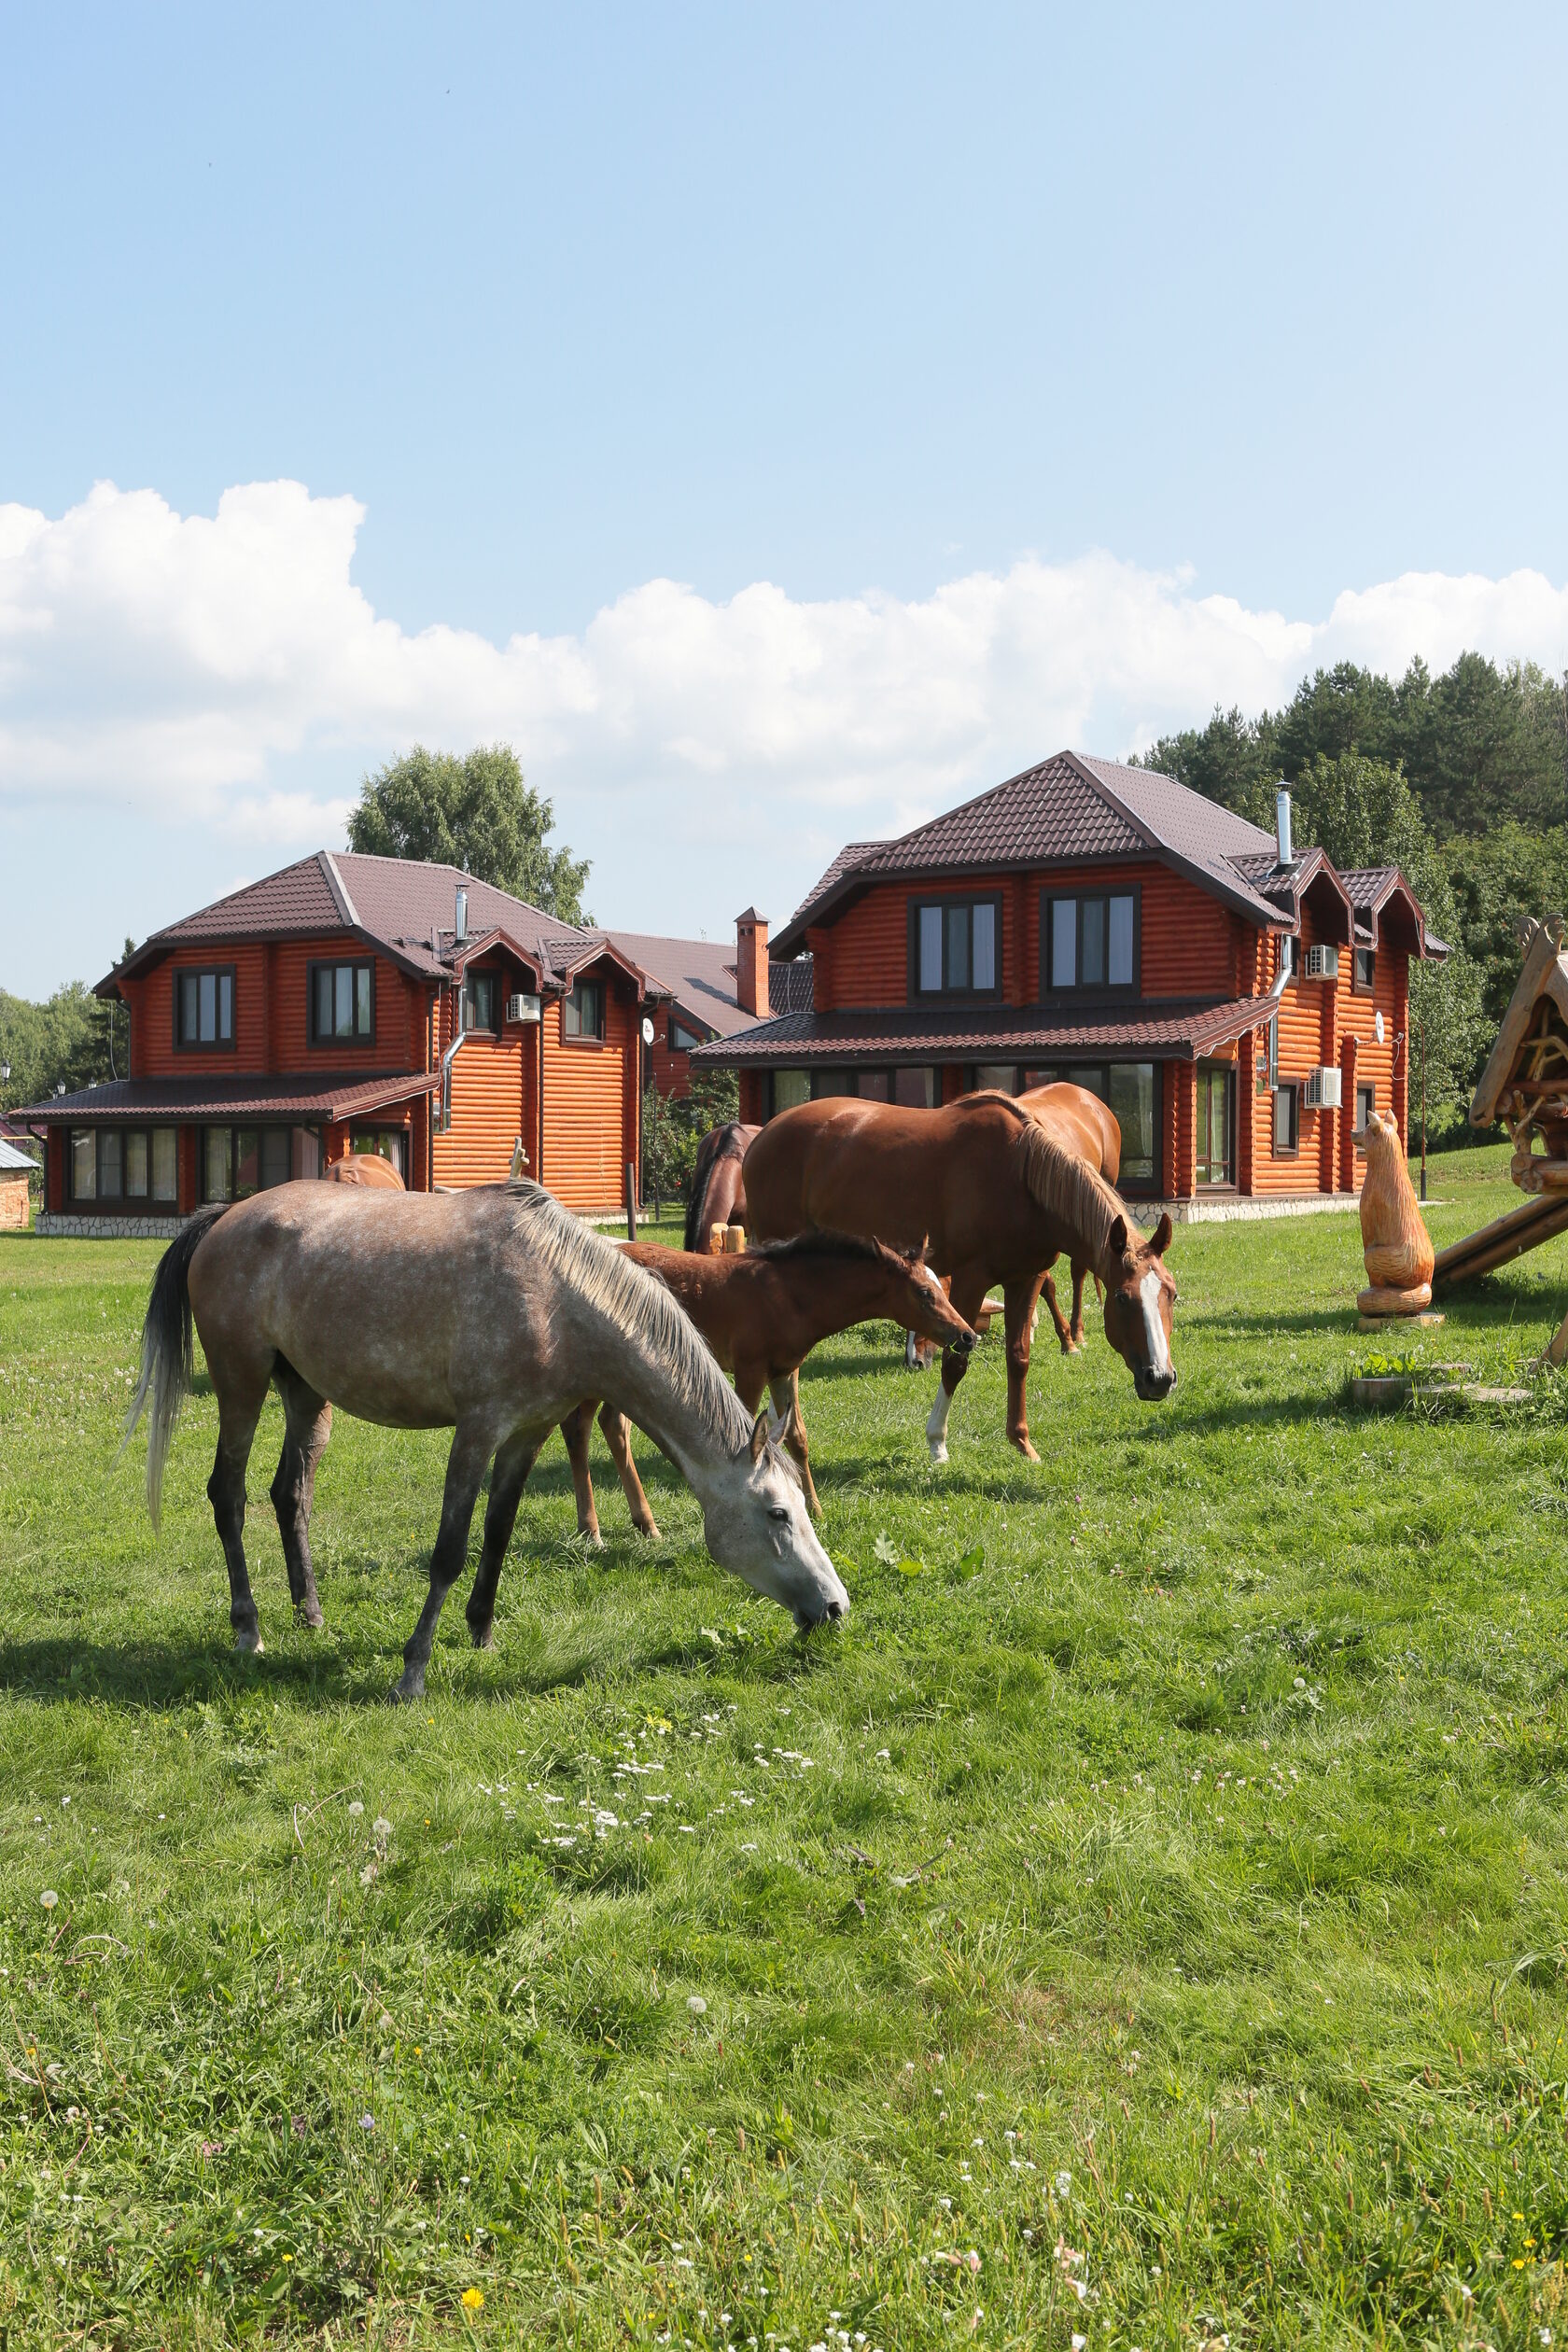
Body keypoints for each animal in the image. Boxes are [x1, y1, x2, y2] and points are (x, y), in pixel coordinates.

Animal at [123, 1176, 850, 1693]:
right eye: (777, 1513)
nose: (836, 1606)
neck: (556, 1297)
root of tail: (224, 1217)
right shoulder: (476, 1430)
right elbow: (450, 1549)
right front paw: (413, 1669)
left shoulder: (529, 1432)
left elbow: (497, 1533)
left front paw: (482, 1634)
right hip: (241, 1385)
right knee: (229, 1495)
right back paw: (249, 1631)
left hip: (306, 1396)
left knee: (289, 1494)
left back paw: (311, 1616)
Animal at [747, 1091, 1175, 1458]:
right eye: (1122, 1298)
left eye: (1171, 1294)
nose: (1160, 1379)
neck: (1021, 1176)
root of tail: (761, 1138)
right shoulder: (973, 1279)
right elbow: (956, 1361)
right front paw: (937, 1442)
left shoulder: (1026, 1278)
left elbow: (1019, 1357)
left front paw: (1021, 1441)